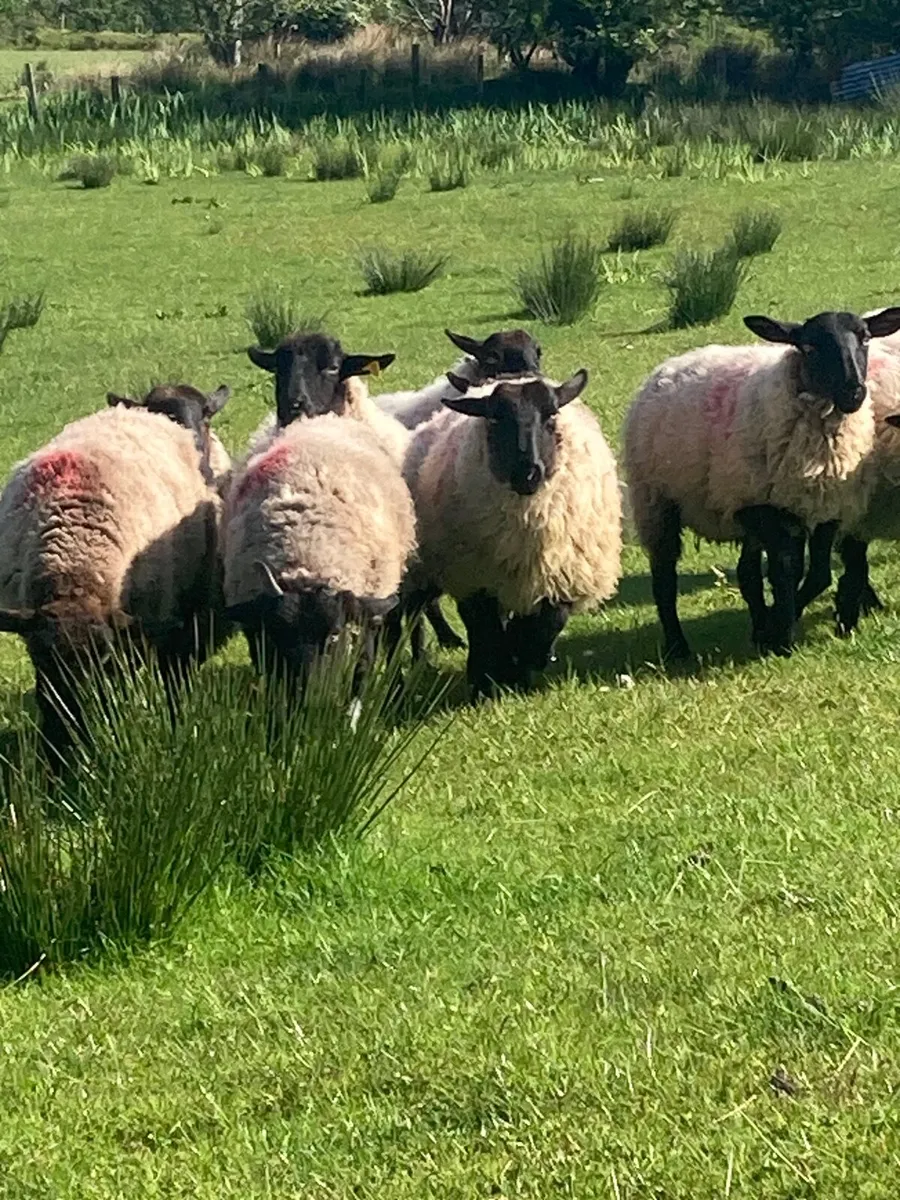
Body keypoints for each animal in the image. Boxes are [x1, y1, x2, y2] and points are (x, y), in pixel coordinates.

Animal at [223, 414, 416, 696]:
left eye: (335, 635)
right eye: (278, 634)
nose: (308, 693)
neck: (306, 552)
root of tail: (321, 418)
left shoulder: (363, 620)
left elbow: (361, 671)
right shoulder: (257, 633)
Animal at [404, 369, 622, 698]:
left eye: (551, 416)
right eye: (495, 420)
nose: (527, 473)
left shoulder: (560, 577)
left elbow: (545, 626)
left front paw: (524, 666)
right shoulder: (476, 580)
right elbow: (486, 630)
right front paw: (490, 680)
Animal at [623, 307, 900, 661]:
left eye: (865, 338)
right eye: (808, 347)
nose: (854, 392)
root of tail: (671, 365)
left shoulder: (826, 510)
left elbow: (818, 574)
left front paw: (775, 627)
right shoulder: (766, 508)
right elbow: (785, 570)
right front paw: (781, 635)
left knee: (748, 573)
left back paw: (758, 626)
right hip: (657, 502)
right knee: (664, 577)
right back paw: (677, 647)